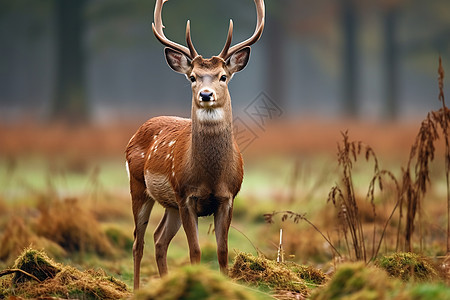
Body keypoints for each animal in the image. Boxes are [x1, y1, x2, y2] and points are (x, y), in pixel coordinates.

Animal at [125, 0, 264, 290]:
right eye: (192, 76)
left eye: (223, 76)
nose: (206, 94)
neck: (211, 176)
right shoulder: (186, 196)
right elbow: (196, 250)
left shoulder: (228, 197)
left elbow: (222, 251)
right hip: (139, 186)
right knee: (138, 241)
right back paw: (136, 289)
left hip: (170, 204)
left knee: (159, 239)